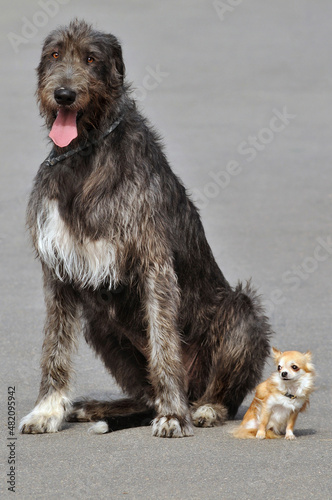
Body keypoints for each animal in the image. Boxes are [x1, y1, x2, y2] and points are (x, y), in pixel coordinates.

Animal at [19, 19, 272, 436]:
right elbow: (54, 344)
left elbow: (164, 342)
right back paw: (101, 408)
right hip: (100, 327)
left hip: (241, 313)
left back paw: (202, 408)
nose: (64, 95)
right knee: (144, 394)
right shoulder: (57, 268)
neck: (87, 152)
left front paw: (173, 416)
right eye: (54, 54)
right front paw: (47, 409)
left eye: (92, 58)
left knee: (219, 386)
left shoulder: (153, 261)